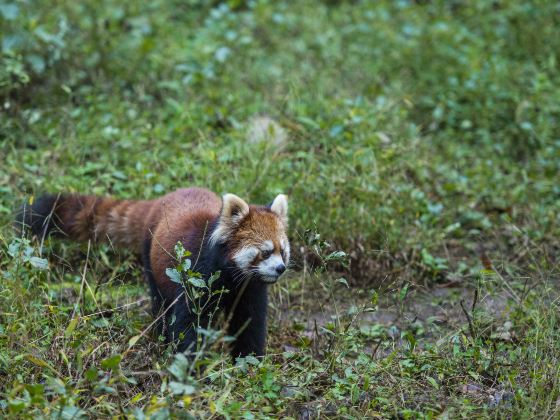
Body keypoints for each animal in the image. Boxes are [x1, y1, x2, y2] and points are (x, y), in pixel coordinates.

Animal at [15, 189, 290, 358]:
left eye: (282, 251)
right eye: (265, 252)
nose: (281, 268)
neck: (231, 277)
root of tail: (159, 201)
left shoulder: (250, 288)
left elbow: (249, 323)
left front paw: (248, 362)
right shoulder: (197, 275)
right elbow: (188, 322)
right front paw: (189, 367)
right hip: (151, 257)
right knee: (161, 304)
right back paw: (161, 335)